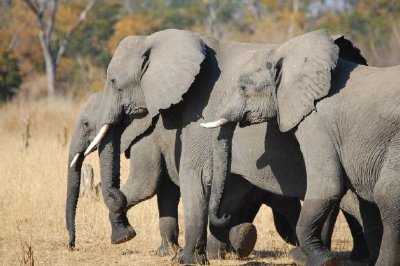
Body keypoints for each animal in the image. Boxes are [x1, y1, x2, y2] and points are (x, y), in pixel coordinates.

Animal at [202, 29, 398, 266]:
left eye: (242, 88)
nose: (226, 217)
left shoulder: (317, 123)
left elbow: (327, 185)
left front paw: (322, 260)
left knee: (387, 196)